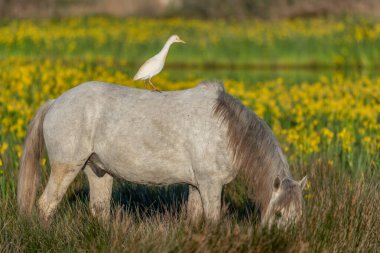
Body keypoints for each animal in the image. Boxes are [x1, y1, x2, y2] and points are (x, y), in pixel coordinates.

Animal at [17, 80, 308, 225]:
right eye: (279, 214)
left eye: (298, 217)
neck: (225, 129)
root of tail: (56, 102)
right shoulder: (210, 185)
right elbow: (213, 220)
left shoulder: (197, 185)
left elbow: (195, 219)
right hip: (67, 167)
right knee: (46, 205)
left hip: (98, 171)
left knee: (98, 210)